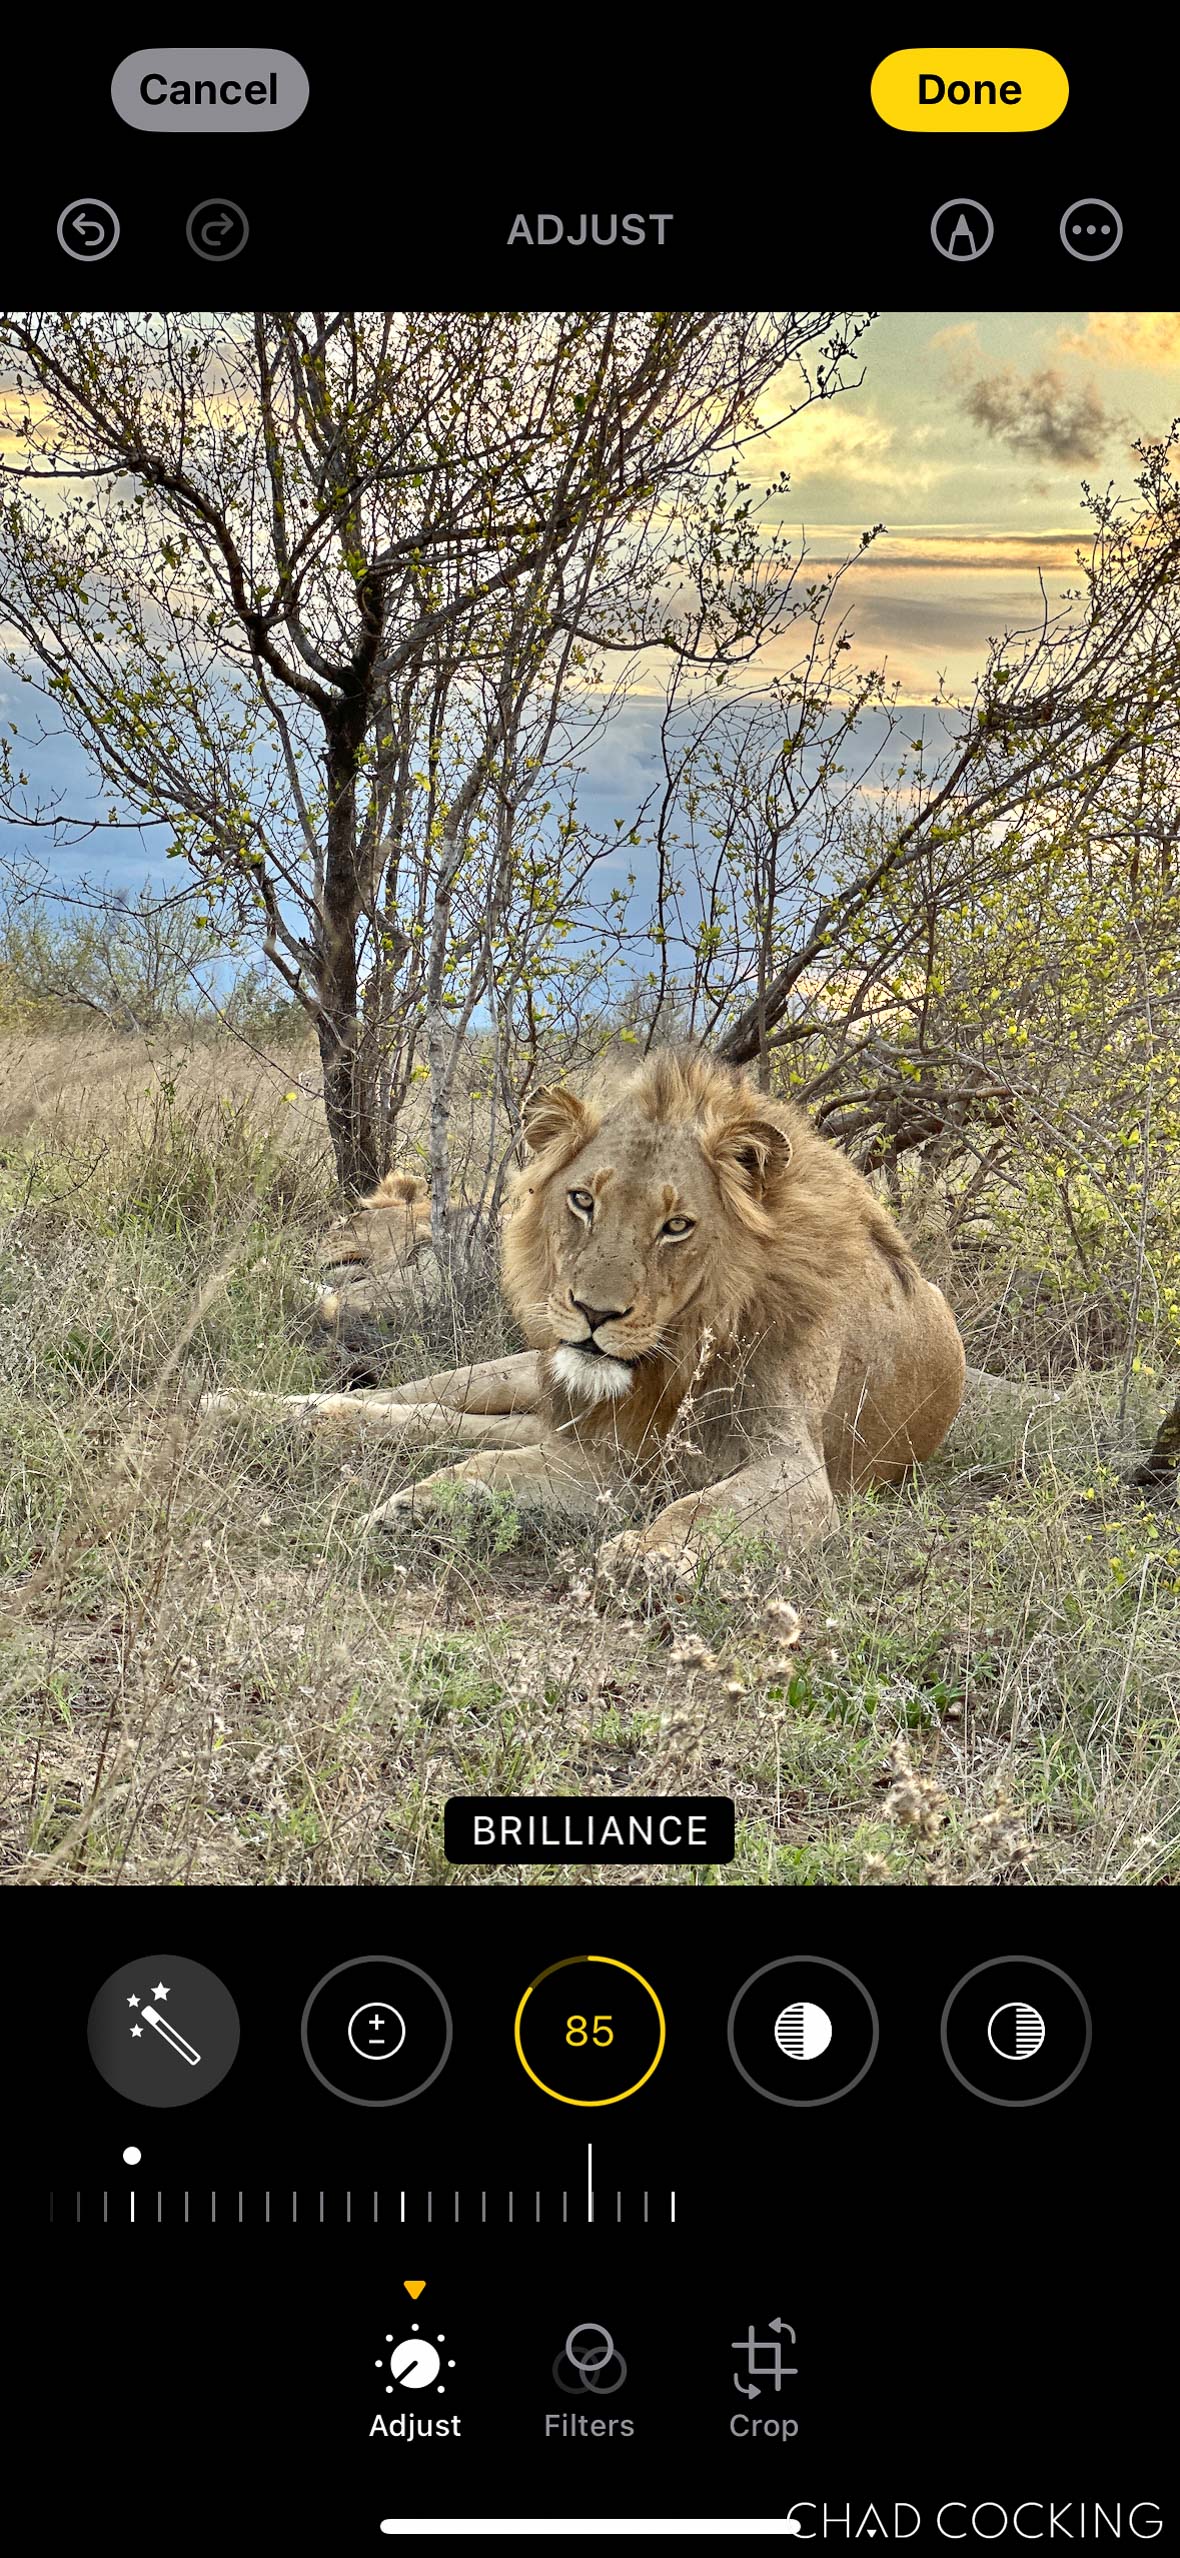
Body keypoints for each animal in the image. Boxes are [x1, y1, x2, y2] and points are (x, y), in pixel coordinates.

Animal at [357, 1048, 966, 1571]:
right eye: (583, 1200)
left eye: (676, 1226)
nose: (595, 1313)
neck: (682, 1352)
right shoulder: (612, 1457)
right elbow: (485, 1465)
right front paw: (411, 1506)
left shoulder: (795, 1470)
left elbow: (701, 1507)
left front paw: (647, 1554)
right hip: (526, 1374)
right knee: (430, 1402)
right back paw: (333, 1411)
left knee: (478, 1427)